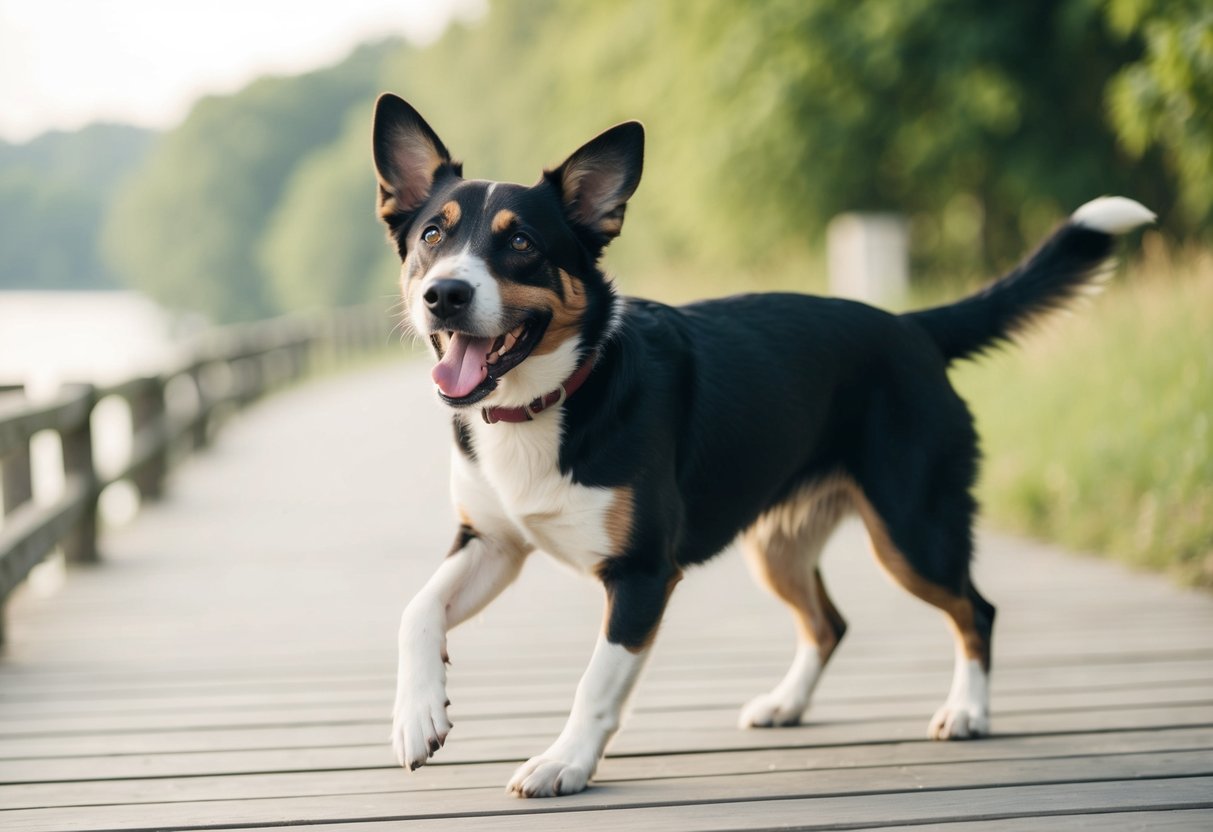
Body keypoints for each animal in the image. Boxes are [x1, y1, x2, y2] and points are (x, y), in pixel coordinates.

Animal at [371, 92, 1154, 800]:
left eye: (522, 244)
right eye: (433, 236)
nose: (445, 295)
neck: (551, 398)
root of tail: (910, 327)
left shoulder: (641, 574)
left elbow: (596, 681)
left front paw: (563, 763)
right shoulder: (493, 543)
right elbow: (415, 609)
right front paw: (416, 716)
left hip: (912, 532)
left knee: (975, 611)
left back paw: (967, 711)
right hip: (777, 546)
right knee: (830, 623)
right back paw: (787, 704)